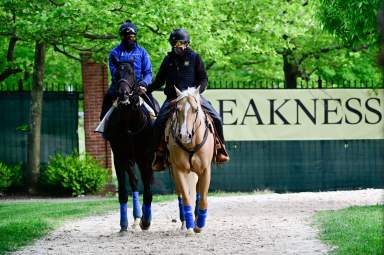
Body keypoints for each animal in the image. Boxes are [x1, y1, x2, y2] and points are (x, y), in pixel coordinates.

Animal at [103, 61, 154, 231]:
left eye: (132, 72)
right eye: (116, 74)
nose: (123, 94)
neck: (131, 124)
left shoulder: (146, 157)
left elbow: (148, 189)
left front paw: (146, 220)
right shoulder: (120, 157)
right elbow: (124, 191)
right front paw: (124, 224)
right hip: (129, 159)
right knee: (134, 181)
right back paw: (137, 216)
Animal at [165, 86, 214, 233]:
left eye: (195, 109)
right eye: (177, 109)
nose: (185, 135)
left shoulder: (205, 170)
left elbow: (203, 197)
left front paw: (199, 225)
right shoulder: (179, 170)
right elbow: (186, 197)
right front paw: (190, 225)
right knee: (181, 193)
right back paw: (185, 222)